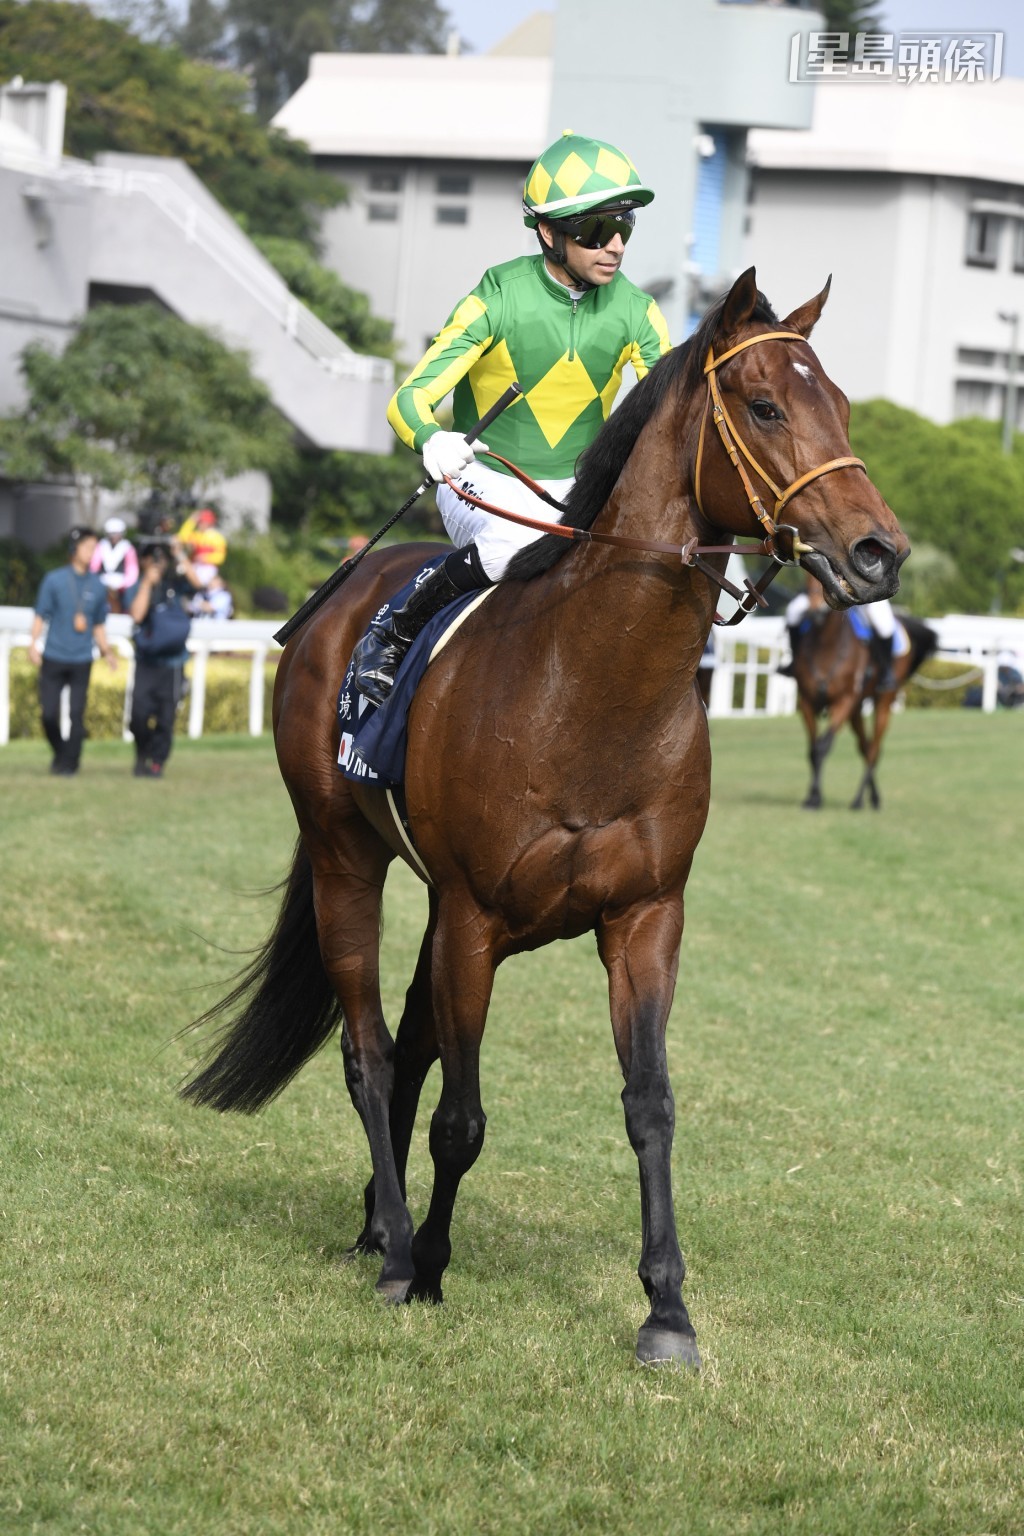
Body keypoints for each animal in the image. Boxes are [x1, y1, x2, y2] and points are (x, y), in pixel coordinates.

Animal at [182, 268, 909, 1368]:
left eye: (844, 407)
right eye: (765, 406)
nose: (879, 551)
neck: (593, 692)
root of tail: (343, 594)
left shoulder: (644, 916)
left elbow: (650, 1106)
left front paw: (666, 1310)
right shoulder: (476, 917)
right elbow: (462, 1117)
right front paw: (430, 1269)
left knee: (407, 1048)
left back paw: (378, 1223)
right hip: (347, 858)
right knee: (371, 1054)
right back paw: (395, 1246)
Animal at [792, 605, 938, 810]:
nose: (815, 613)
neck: (826, 644)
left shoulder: (843, 701)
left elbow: (823, 746)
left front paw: (815, 798)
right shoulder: (806, 703)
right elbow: (813, 750)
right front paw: (812, 797)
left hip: (883, 703)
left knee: (874, 749)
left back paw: (859, 799)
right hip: (856, 710)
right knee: (865, 747)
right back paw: (873, 798)